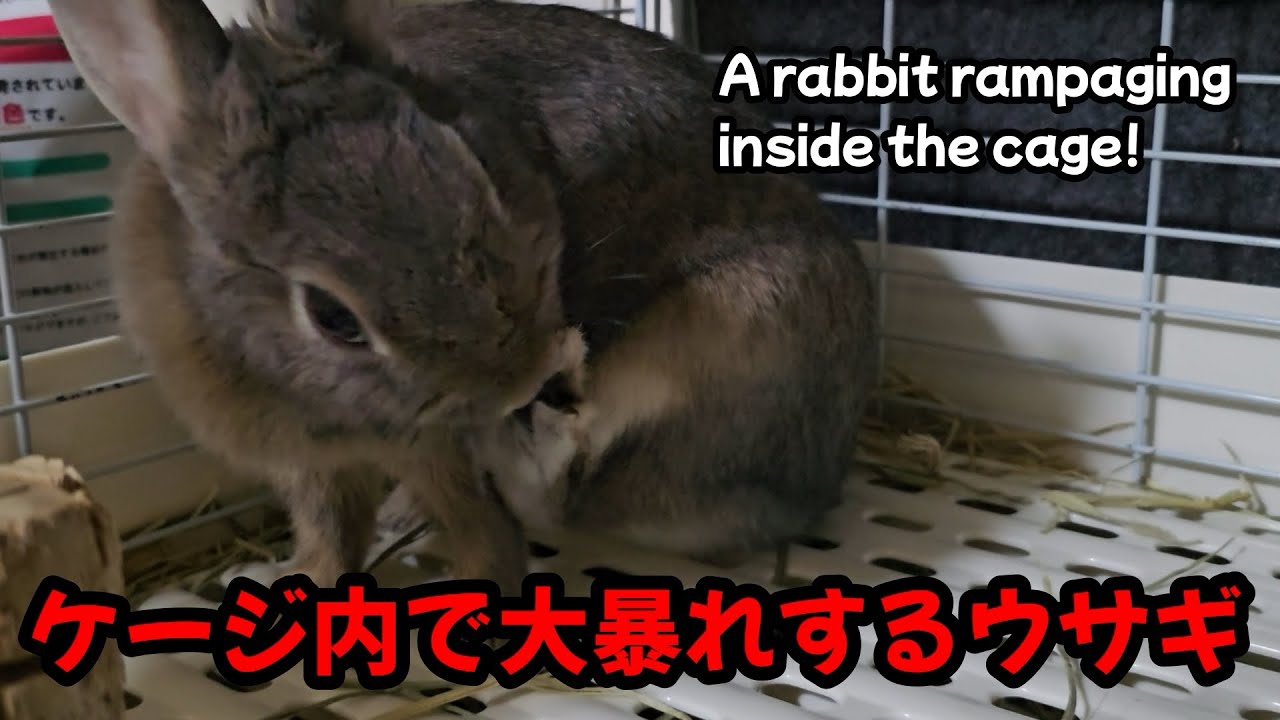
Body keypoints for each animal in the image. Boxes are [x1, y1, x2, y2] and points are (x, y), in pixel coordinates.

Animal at [48, 0, 878, 593]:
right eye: (332, 316)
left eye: (472, 167)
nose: (519, 379)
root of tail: (810, 487)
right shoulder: (312, 464)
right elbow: (327, 531)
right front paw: (297, 580)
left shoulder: (435, 446)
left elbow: (477, 519)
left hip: (728, 328)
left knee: (570, 496)